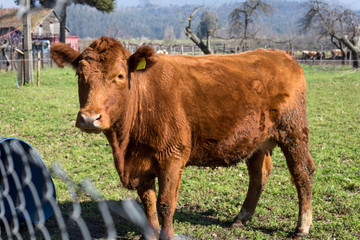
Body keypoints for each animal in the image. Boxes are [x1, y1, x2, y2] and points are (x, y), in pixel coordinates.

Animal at [50, 36, 316, 239]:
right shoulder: (141, 164)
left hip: (293, 131)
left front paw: (165, 235)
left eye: (120, 76)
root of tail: (281, 55)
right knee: (259, 175)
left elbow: (165, 203)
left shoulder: (172, 156)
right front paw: (150, 234)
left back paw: (302, 226)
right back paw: (241, 218)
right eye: (79, 75)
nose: (89, 118)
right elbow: (148, 203)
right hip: (258, 140)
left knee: (302, 171)